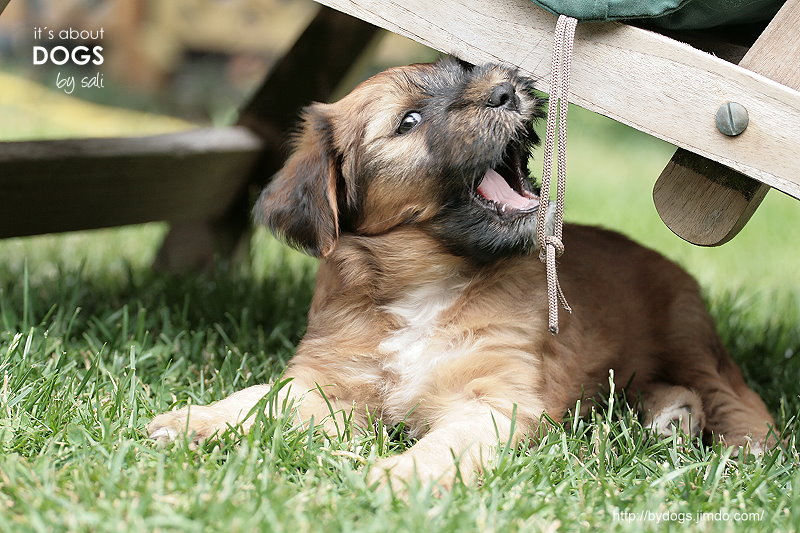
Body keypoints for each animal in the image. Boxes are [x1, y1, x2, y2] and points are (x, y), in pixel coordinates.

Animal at [148, 59, 776, 486]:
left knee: (733, 392)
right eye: (409, 120)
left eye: (466, 73)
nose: (507, 89)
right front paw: (195, 420)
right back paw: (672, 416)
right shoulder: (326, 381)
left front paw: (392, 479)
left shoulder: (492, 402)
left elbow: (440, 447)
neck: (425, 288)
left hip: (685, 332)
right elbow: (260, 398)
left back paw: (746, 447)